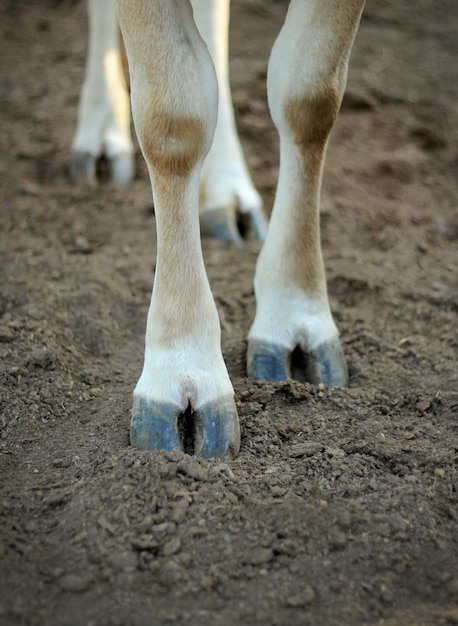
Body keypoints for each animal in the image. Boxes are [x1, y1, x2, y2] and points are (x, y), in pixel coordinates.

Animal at [71, 1, 364, 458]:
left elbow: (311, 97)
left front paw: (294, 311)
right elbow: (174, 123)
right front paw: (183, 370)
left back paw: (226, 192)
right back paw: (101, 134)